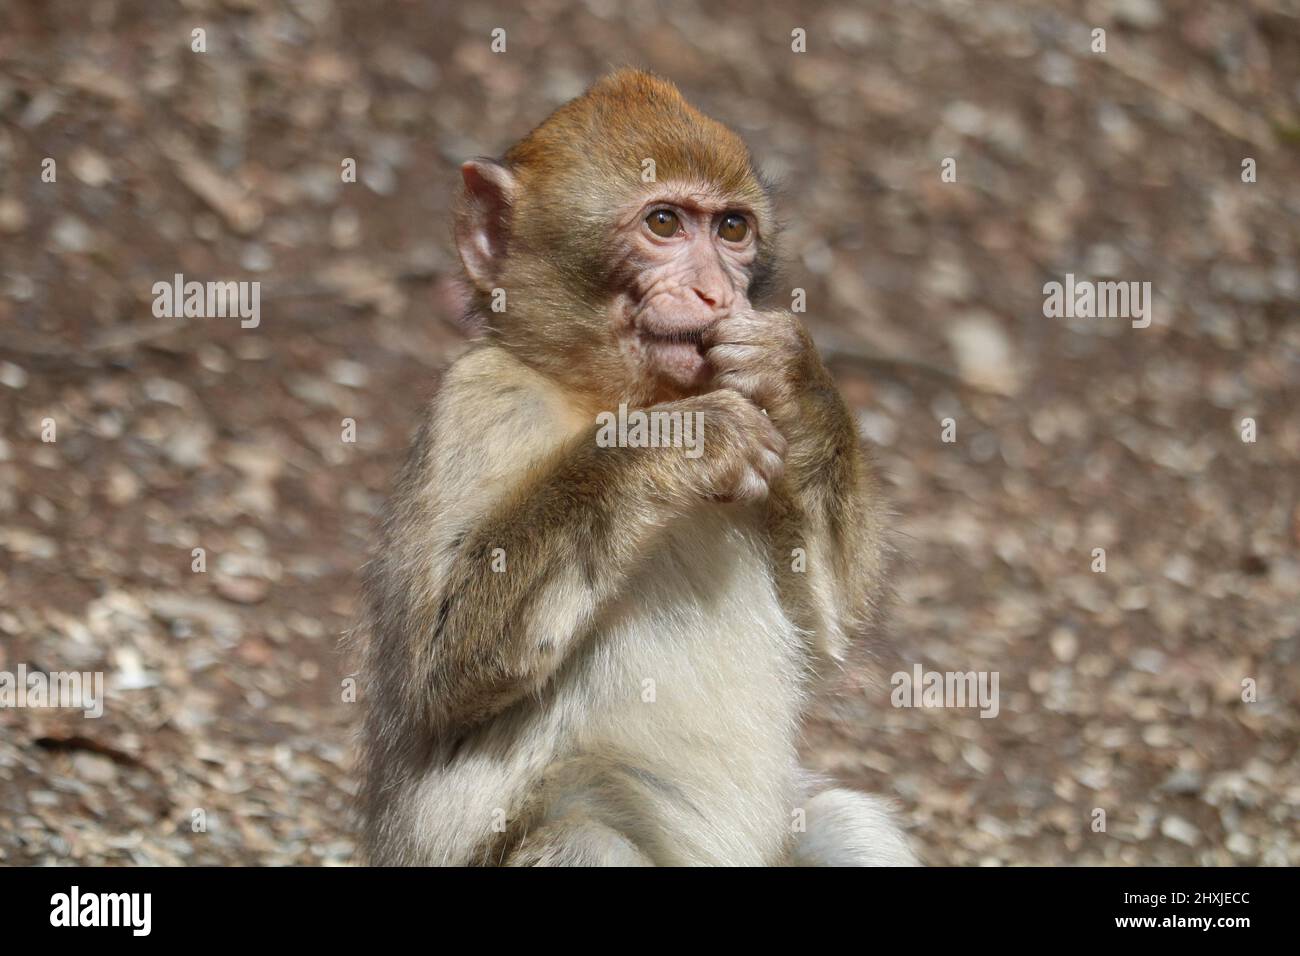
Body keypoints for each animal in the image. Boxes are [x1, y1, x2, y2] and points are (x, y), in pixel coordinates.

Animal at [355, 69, 918, 866]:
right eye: (663, 222)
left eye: (732, 229)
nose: (717, 291)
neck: (602, 397)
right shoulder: (479, 402)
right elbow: (441, 673)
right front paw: (684, 439)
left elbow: (826, 624)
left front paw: (793, 374)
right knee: (584, 836)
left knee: (845, 821)